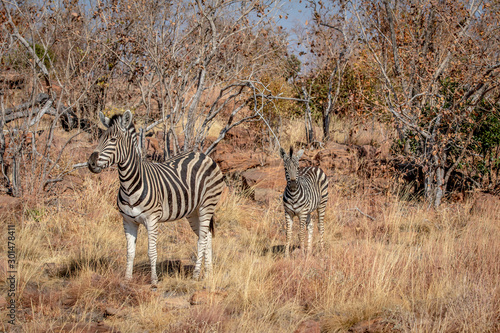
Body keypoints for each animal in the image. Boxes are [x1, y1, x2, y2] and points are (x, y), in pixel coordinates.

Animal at [88, 110, 225, 282]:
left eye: (113, 139)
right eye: (100, 138)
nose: (91, 163)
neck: (129, 185)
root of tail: (203, 155)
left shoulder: (152, 219)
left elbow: (151, 252)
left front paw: (154, 280)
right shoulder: (128, 221)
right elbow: (130, 252)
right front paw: (127, 279)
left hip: (207, 205)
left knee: (201, 240)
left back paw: (195, 275)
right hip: (193, 211)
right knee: (206, 236)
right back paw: (208, 273)